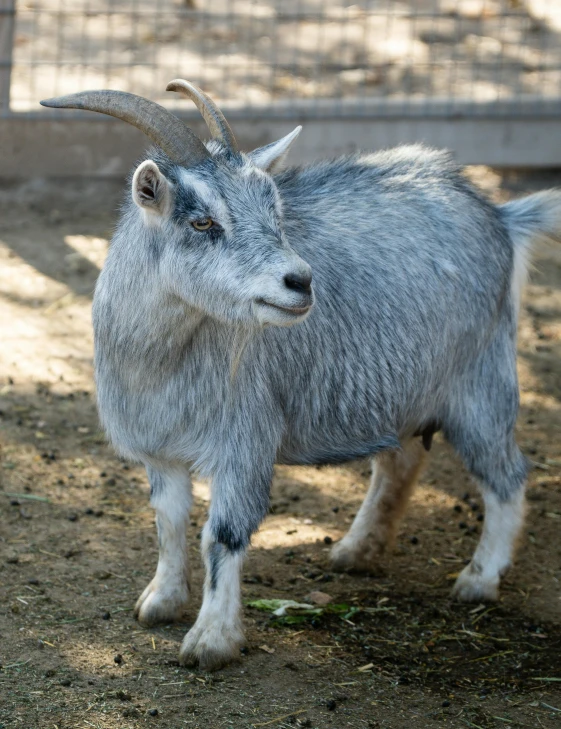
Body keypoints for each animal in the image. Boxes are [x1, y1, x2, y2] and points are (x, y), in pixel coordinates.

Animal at [40, 81, 560, 672]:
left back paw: (478, 579)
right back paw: (357, 551)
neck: (160, 362)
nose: (301, 282)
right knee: (401, 460)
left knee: (507, 475)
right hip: (403, 390)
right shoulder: (159, 448)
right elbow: (168, 522)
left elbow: (221, 534)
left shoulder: (244, 438)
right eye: (202, 222)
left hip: (480, 382)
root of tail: (500, 215)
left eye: (276, 210)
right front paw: (162, 601)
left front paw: (212, 640)